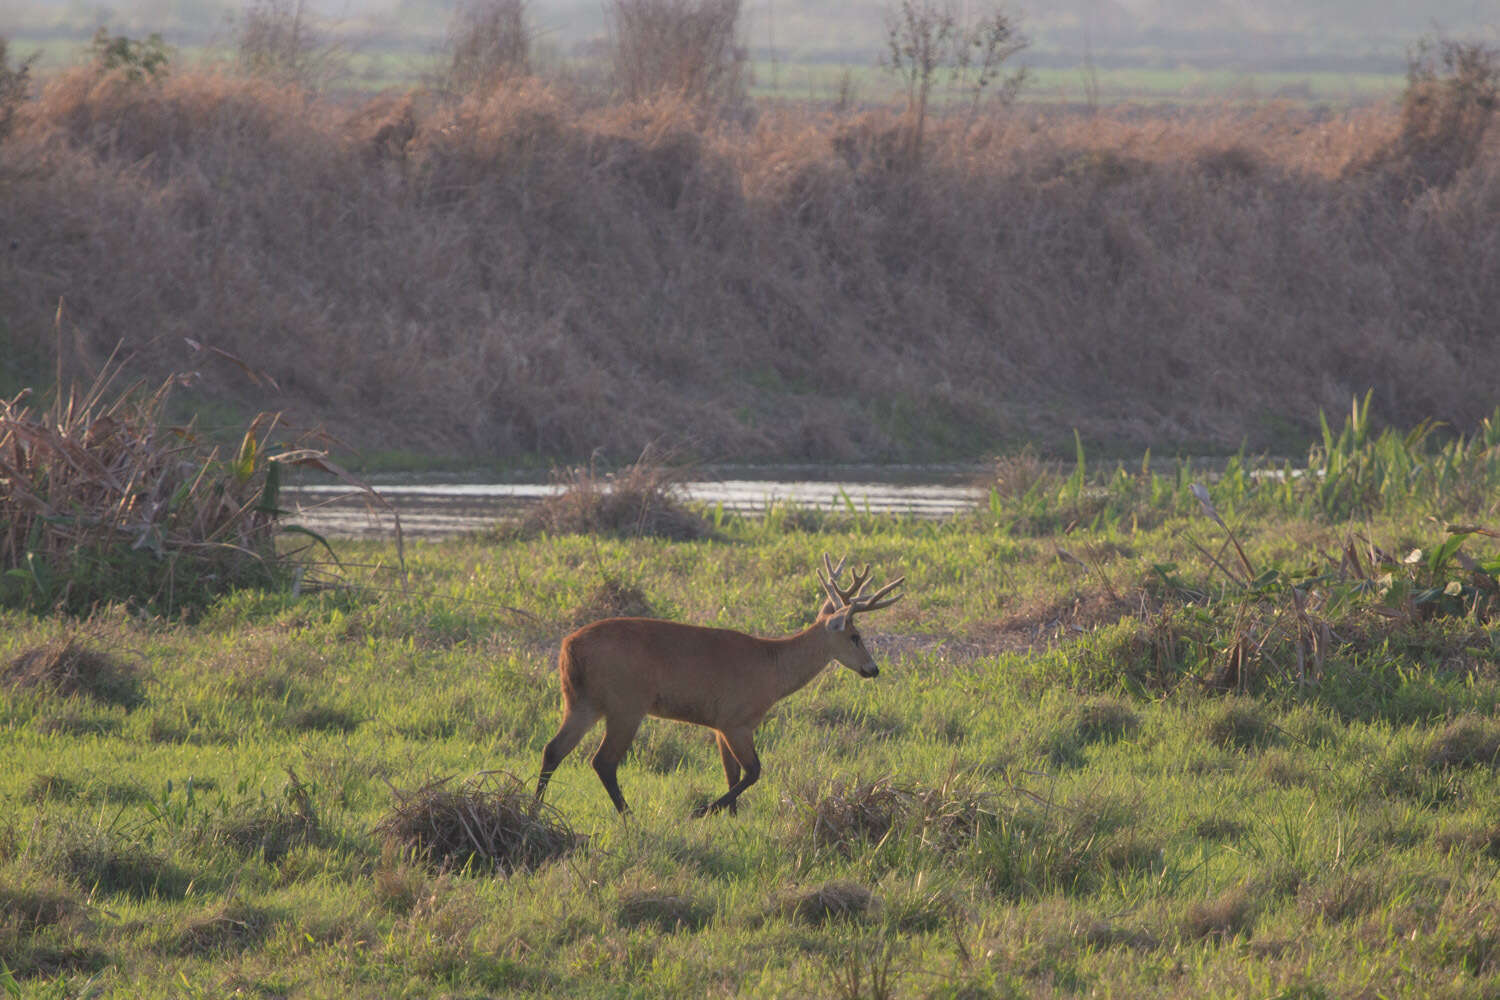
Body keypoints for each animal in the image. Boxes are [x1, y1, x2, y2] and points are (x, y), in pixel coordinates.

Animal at [537, 560, 900, 815]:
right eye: (855, 636)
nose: (873, 668)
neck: (773, 669)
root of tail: (569, 646)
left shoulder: (720, 724)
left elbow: (732, 773)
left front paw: (730, 816)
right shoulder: (736, 719)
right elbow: (753, 771)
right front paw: (704, 810)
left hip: (581, 700)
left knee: (554, 748)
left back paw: (535, 806)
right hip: (625, 703)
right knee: (603, 761)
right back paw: (629, 814)